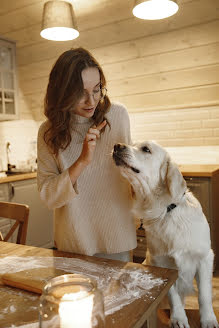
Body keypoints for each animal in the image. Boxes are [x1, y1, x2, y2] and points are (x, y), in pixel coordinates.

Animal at [112, 140, 218, 328]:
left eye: (146, 149)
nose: (116, 146)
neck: (166, 211)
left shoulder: (205, 257)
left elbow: (204, 294)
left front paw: (208, 319)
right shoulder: (161, 263)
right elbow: (172, 293)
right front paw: (179, 318)